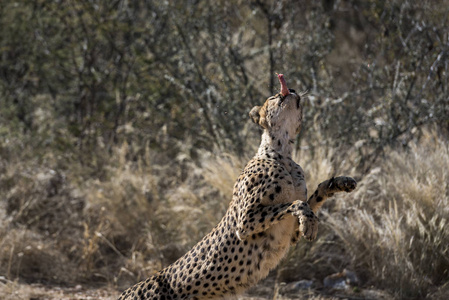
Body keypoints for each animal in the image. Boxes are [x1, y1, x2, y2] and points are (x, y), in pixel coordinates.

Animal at [117, 74, 356, 298]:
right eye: (272, 97)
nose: (293, 89)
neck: (283, 154)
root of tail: (127, 291)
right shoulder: (245, 222)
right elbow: (297, 203)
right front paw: (311, 224)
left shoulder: (290, 233)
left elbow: (314, 197)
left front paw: (340, 183)